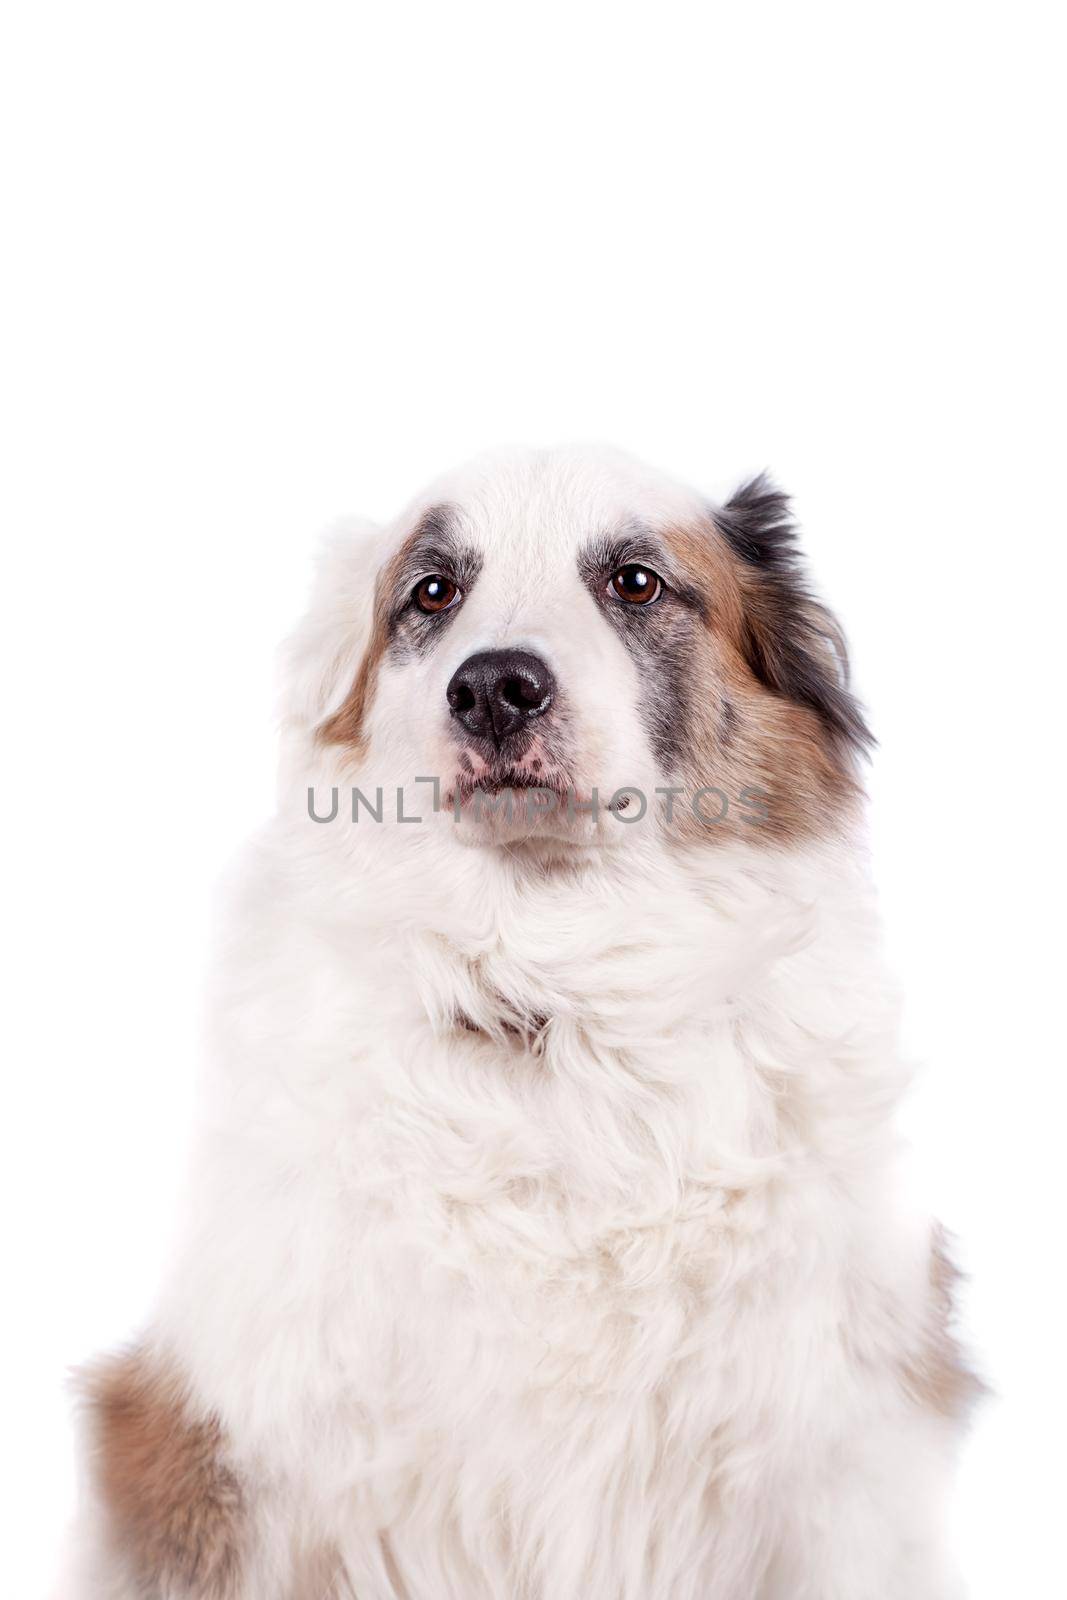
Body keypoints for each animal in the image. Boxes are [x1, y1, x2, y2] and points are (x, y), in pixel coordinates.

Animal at [56, 448, 979, 1600]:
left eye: (635, 581)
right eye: (432, 591)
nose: (494, 687)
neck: (561, 1010)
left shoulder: (843, 1447)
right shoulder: (242, 1450)